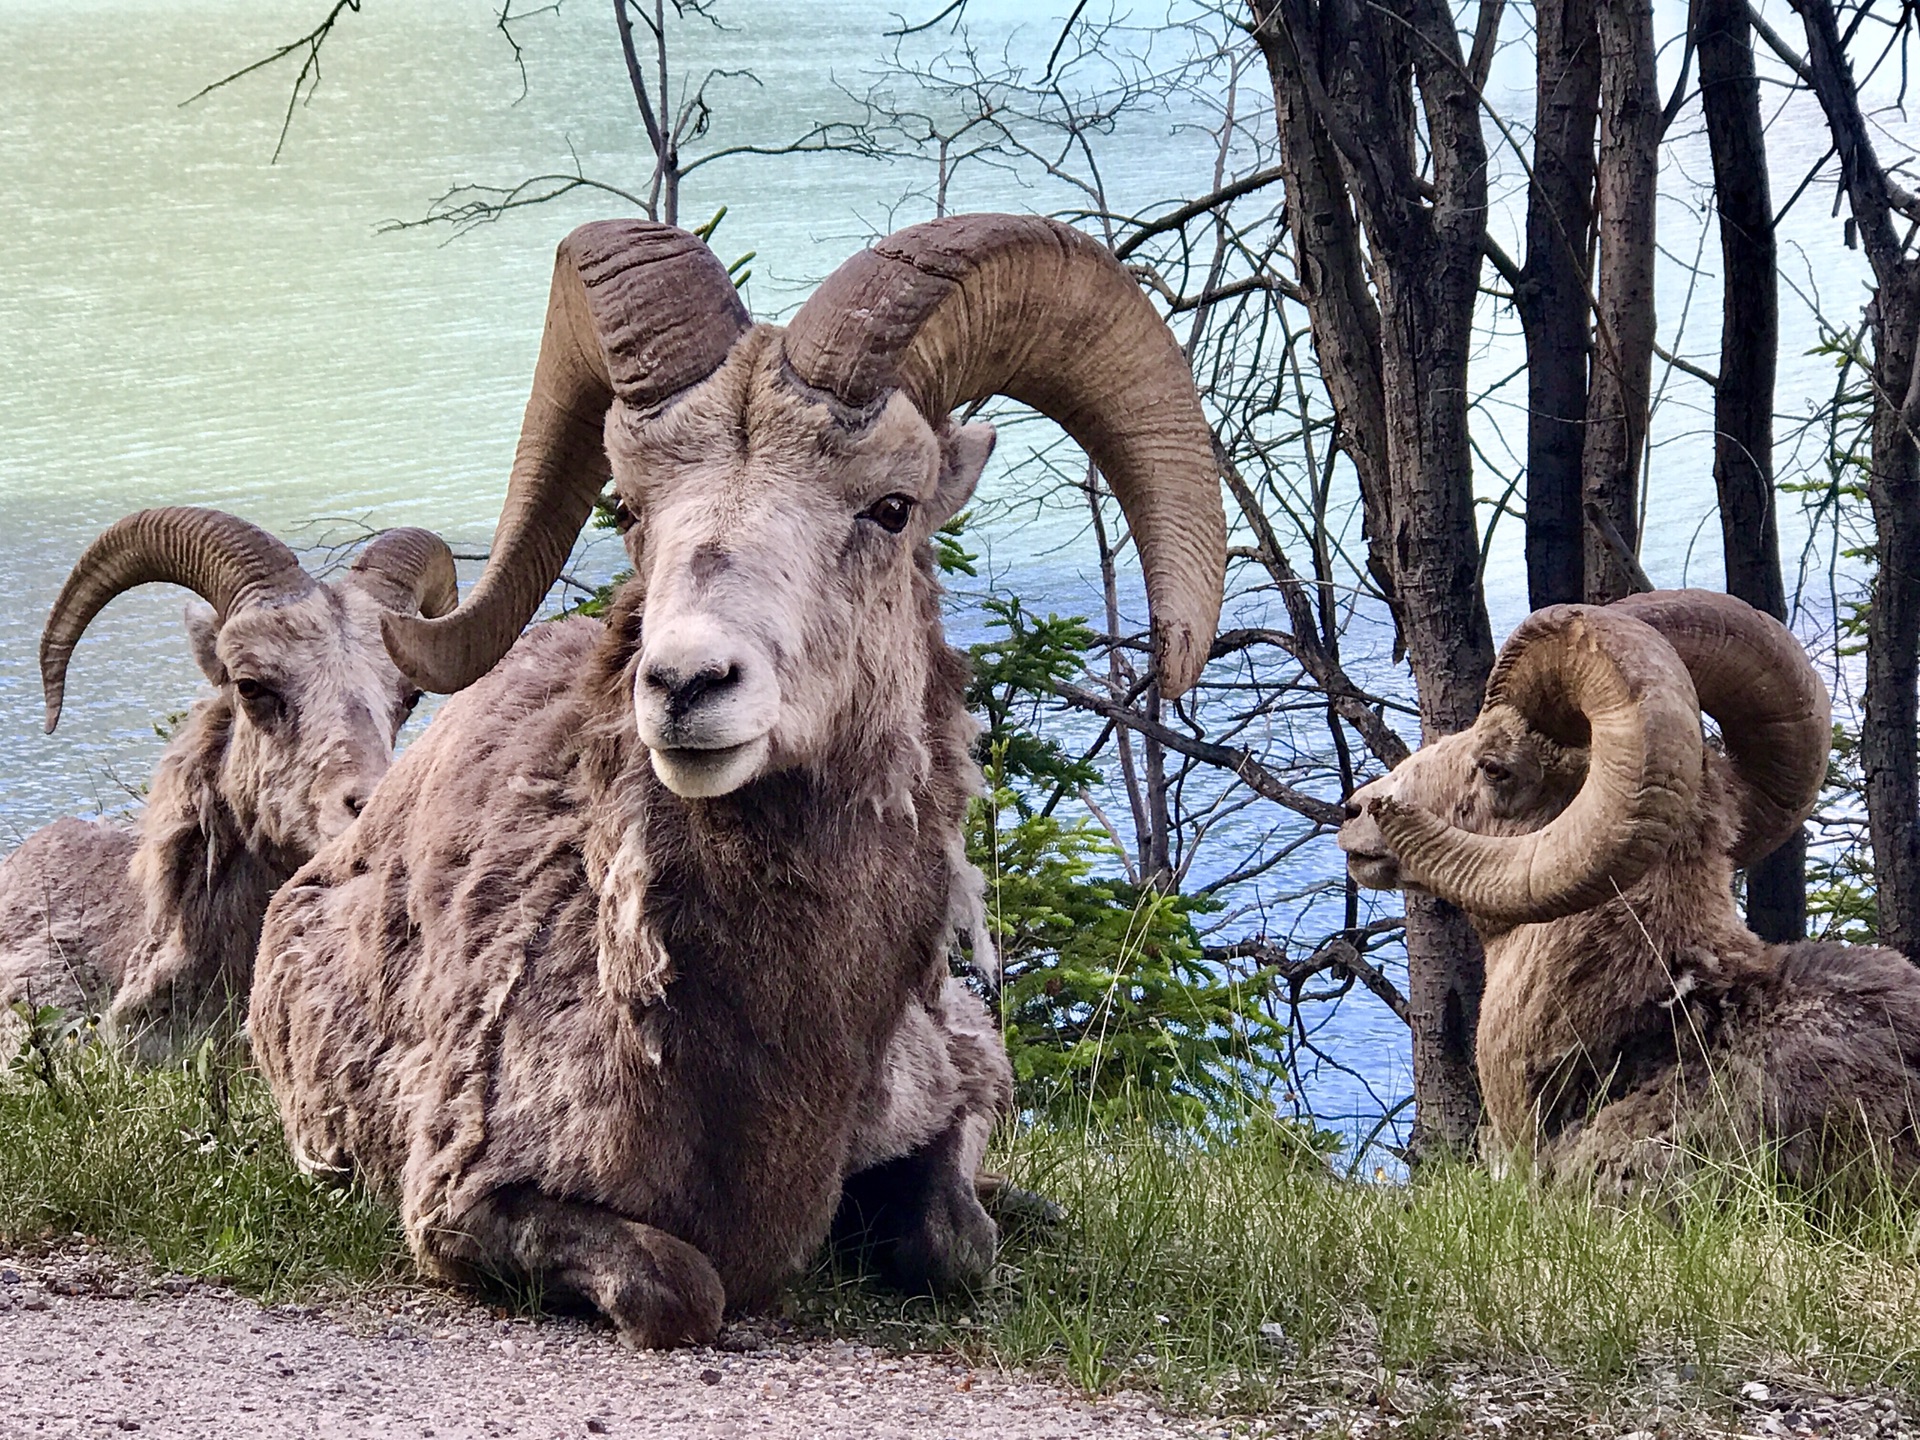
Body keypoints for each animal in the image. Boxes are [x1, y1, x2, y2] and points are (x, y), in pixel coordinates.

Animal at [247, 216, 1221, 1351]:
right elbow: (684, 1290)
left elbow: (956, 1247)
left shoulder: (954, 1093)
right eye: (629, 506)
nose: (684, 683)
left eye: (892, 508)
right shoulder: (465, 1211)